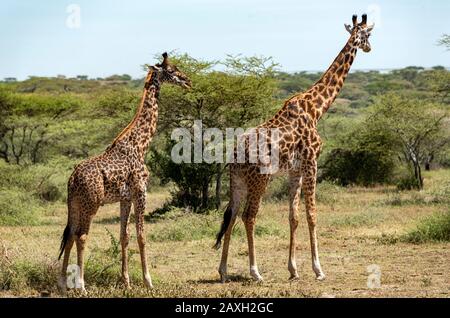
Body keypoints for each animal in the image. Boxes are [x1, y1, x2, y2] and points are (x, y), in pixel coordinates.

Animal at [57, 52, 191, 294]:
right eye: (172, 70)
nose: (188, 81)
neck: (141, 144)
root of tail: (72, 180)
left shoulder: (125, 198)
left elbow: (124, 236)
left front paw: (126, 282)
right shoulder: (141, 192)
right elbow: (142, 236)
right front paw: (148, 281)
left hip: (73, 204)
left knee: (70, 235)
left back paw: (63, 284)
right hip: (91, 203)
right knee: (82, 236)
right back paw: (81, 286)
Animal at [214, 13, 372, 282]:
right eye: (368, 34)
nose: (369, 47)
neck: (317, 108)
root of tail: (235, 155)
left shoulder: (294, 170)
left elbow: (293, 217)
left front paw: (294, 269)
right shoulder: (311, 162)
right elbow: (312, 215)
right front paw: (318, 270)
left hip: (238, 181)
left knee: (232, 215)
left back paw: (223, 271)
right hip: (260, 179)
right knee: (249, 216)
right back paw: (256, 272)